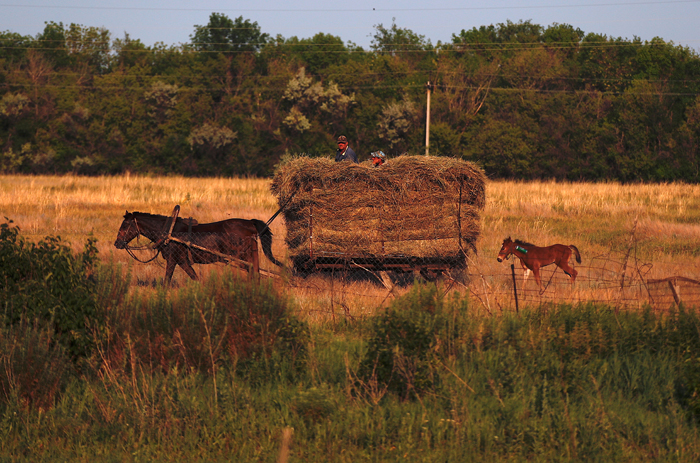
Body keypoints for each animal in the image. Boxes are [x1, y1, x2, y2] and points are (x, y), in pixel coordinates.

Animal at [113, 209, 284, 282]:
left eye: (125, 225)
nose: (117, 243)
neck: (168, 233)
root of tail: (249, 222)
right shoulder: (183, 261)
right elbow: (195, 278)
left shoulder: (174, 260)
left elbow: (167, 280)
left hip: (242, 258)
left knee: (253, 273)